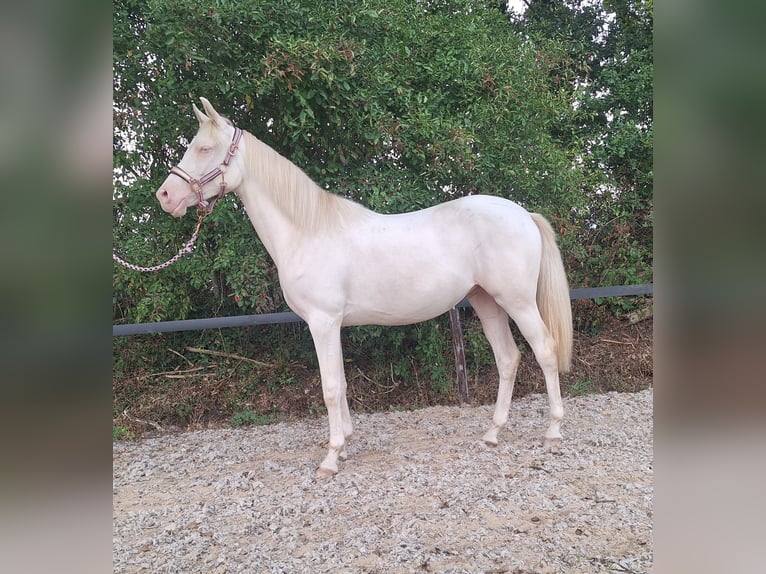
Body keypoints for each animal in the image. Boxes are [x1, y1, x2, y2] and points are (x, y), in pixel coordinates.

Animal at [156, 98, 573, 478]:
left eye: (204, 148)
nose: (165, 197)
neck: (308, 231)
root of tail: (523, 214)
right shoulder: (332, 325)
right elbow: (340, 384)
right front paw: (345, 444)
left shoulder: (322, 322)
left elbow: (329, 387)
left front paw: (330, 459)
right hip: (487, 302)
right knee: (508, 359)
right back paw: (492, 434)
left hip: (518, 302)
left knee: (545, 351)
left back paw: (553, 433)